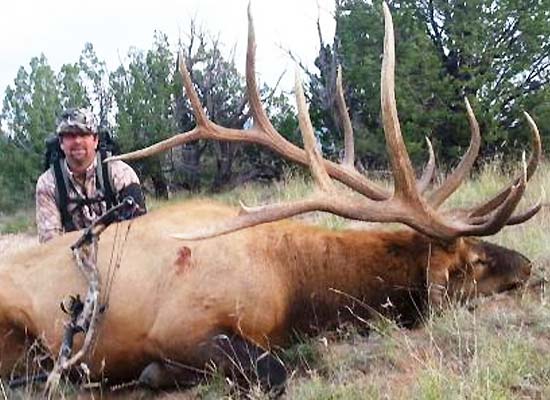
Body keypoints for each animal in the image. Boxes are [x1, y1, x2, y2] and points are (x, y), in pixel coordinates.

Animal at [0, 1, 544, 396]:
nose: (531, 267)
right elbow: (273, 370)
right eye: (473, 261)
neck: (292, 285)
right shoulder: (179, 327)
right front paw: (153, 376)